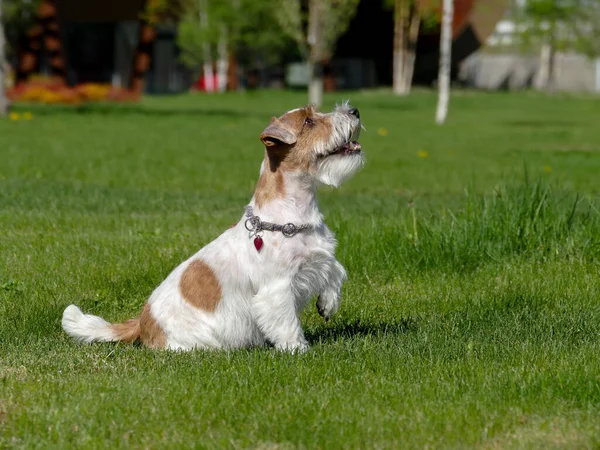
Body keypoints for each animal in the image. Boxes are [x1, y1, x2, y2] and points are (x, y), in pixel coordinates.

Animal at [63, 103, 366, 352]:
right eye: (308, 122)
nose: (354, 111)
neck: (293, 213)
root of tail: (141, 322)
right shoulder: (276, 290)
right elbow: (287, 324)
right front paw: (298, 350)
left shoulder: (320, 257)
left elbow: (336, 270)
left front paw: (328, 303)